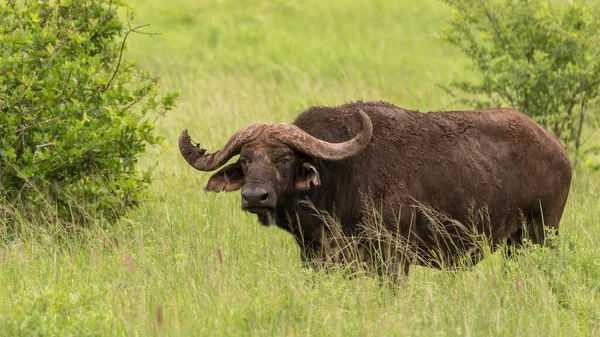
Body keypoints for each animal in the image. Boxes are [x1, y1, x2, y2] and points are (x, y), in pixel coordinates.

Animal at [178, 100, 572, 278]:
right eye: (245, 161)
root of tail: (558, 150)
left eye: (285, 159)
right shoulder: (315, 259)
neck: (339, 177)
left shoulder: (392, 260)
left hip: (541, 234)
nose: (254, 197)